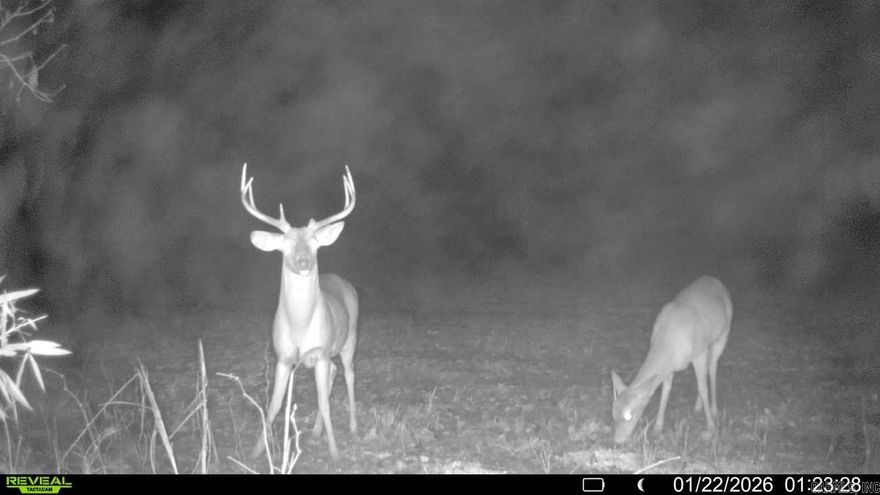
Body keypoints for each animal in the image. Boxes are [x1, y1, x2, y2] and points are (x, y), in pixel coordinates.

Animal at [240, 163, 359, 460]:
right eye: (286, 245)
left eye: (315, 244)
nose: (304, 261)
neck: (300, 327)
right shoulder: (283, 356)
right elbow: (273, 405)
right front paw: (256, 451)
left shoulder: (321, 351)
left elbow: (324, 402)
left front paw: (335, 452)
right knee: (335, 374)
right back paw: (316, 432)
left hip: (350, 337)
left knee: (349, 374)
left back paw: (353, 427)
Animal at [610, 276, 732, 444]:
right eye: (613, 412)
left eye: (629, 415)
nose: (617, 439)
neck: (668, 341)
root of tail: (714, 279)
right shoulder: (670, 366)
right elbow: (666, 390)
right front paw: (657, 428)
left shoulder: (699, 353)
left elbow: (703, 387)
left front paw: (711, 428)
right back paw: (698, 406)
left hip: (723, 334)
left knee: (712, 367)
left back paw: (713, 409)